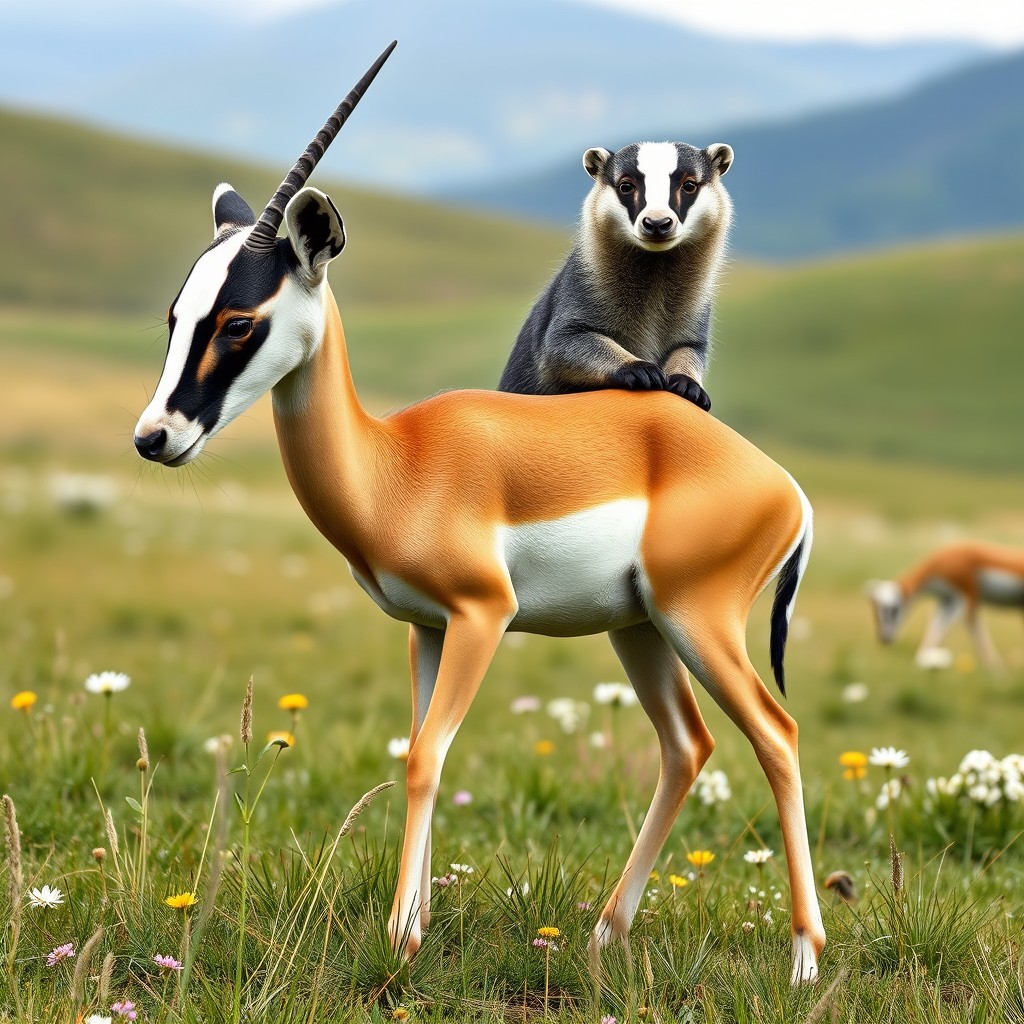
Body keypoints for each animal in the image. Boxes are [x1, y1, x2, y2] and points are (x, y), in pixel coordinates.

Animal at [132, 43, 825, 984]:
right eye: (177, 314)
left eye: (240, 321)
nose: (155, 435)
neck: (395, 462)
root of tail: (784, 484)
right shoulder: (426, 628)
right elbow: (416, 746)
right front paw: (416, 919)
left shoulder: (481, 615)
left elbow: (429, 755)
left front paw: (401, 938)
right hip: (641, 627)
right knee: (688, 746)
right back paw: (605, 935)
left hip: (700, 620)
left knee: (777, 735)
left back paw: (804, 963)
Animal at [868, 540, 1024, 669]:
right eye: (874, 612)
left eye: (893, 608)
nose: (884, 639)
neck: (942, 563)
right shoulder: (946, 601)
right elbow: (934, 630)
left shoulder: (968, 598)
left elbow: (971, 634)